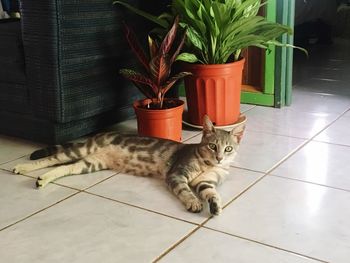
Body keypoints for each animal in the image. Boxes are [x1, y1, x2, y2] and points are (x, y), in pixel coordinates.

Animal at [13, 116, 243, 217]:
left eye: (228, 149)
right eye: (212, 146)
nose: (219, 158)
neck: (207, 165)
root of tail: (100, 134)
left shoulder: (206, 182)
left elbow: (211, 192)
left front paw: (215, 205)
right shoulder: (176, 174)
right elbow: (185, 191)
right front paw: (193, 202)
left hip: (91, 163)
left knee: (66, 168)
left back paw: (43, 179)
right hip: (81, 151)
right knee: (51, 159)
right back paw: (23, 168)